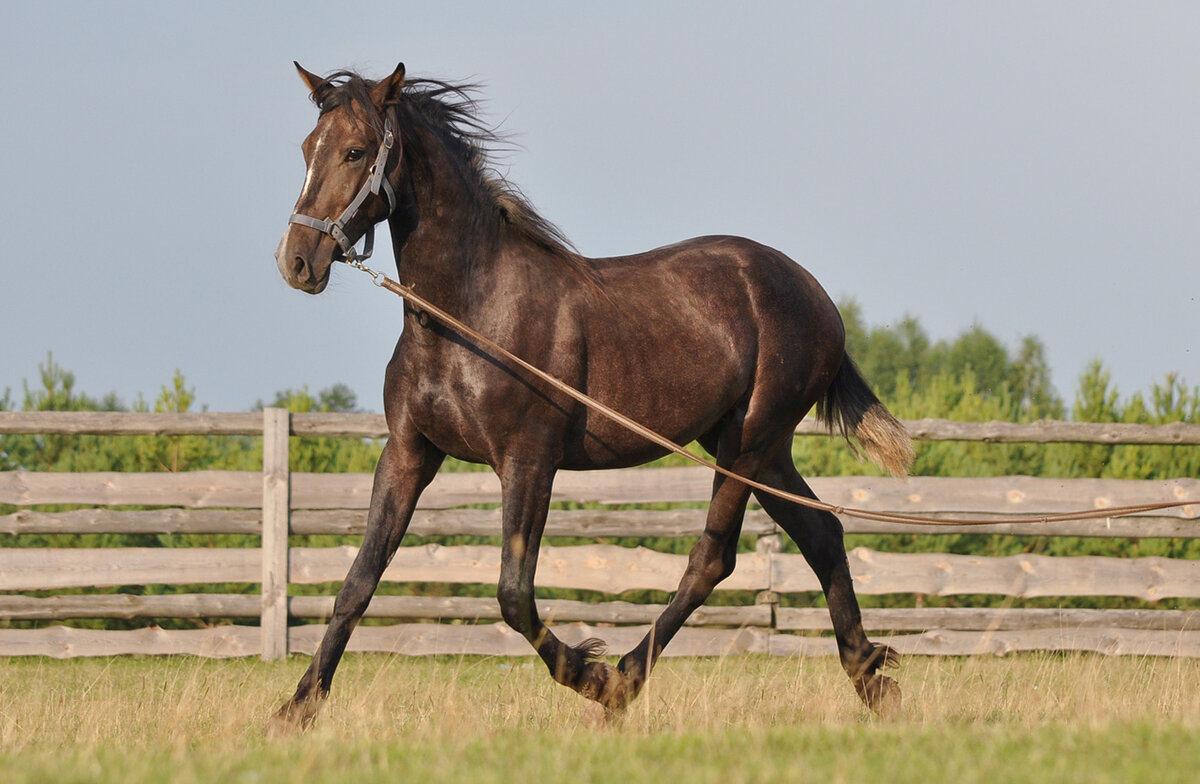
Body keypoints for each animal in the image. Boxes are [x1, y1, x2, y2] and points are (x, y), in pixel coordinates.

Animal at [270, 64, 907, 729]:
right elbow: (358, 582)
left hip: (749, 445)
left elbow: (514, 595)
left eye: (355, 151)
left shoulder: (528, 462)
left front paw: (592, 675)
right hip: (757, 448)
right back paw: (872, 680)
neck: (468, 314)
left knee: (712, 560)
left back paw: (624, 682)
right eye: (307, 149)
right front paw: (296, 709)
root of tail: (816, 295)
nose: (297, 261)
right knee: (822, 534)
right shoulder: (407, 453)